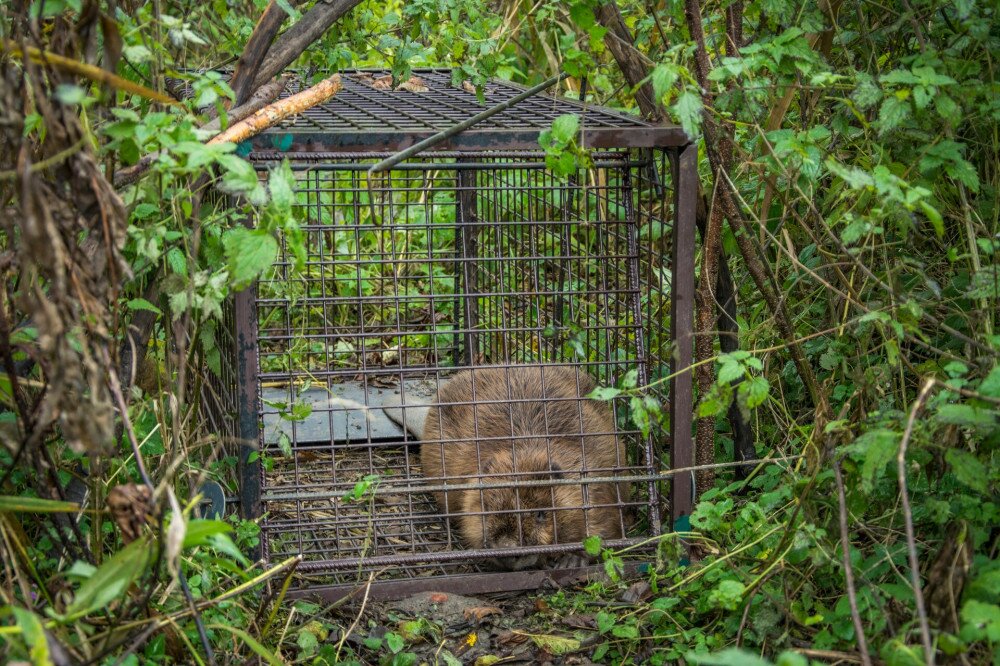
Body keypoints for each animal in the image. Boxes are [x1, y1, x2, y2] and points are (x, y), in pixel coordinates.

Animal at [380, 366, 624, 568]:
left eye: (541, 514)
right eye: (488, 508)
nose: (507, 549)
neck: (528, 444)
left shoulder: (596, 482)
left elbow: (602, 527)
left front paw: (571, 560)